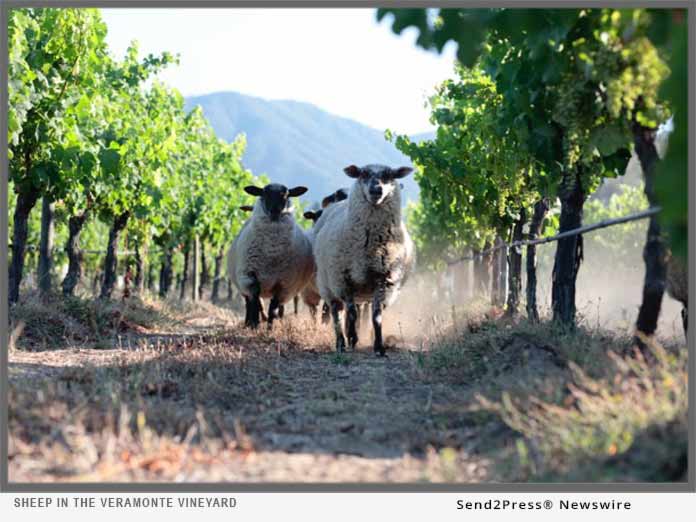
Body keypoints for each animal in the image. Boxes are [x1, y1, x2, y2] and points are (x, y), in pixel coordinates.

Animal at [228, 183, 312, 328]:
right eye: (264, 193)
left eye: (286, 195)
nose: (275, 211)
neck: (271, 251)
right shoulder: (250, 277)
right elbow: (255, 301)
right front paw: (254, 325)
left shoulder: (283, 284)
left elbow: (273, 307)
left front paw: (269, 327)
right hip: (243, 284)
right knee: (249, 302)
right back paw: (248, 323)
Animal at [314, 165, 414, 356]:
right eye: (364, 174)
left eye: (389, 175)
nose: (376, 189)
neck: (372, 247)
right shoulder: (344, 280)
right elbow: (352, 313)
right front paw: (353, 339)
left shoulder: (383, 280)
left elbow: (377, 316)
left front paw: (379, 347)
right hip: (328, 284)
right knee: (336, 312)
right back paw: (341, 342)